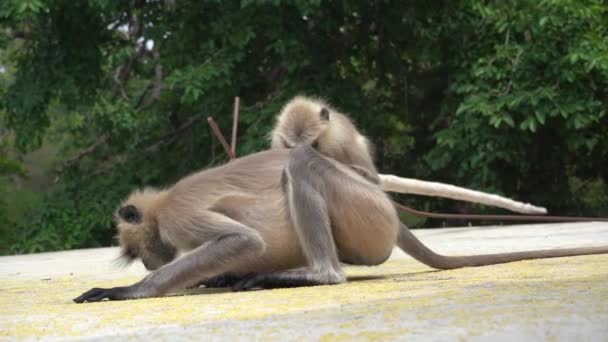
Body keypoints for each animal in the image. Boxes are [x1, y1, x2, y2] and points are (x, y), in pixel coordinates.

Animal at [75, 146, 608, 304]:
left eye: (140, 253)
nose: (150, 262)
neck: (163, 205)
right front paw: (216, 278)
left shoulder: (180, 215)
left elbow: (243, 240)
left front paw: (127, 291)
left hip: (361, 211)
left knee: (301, 164)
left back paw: (308, 273)